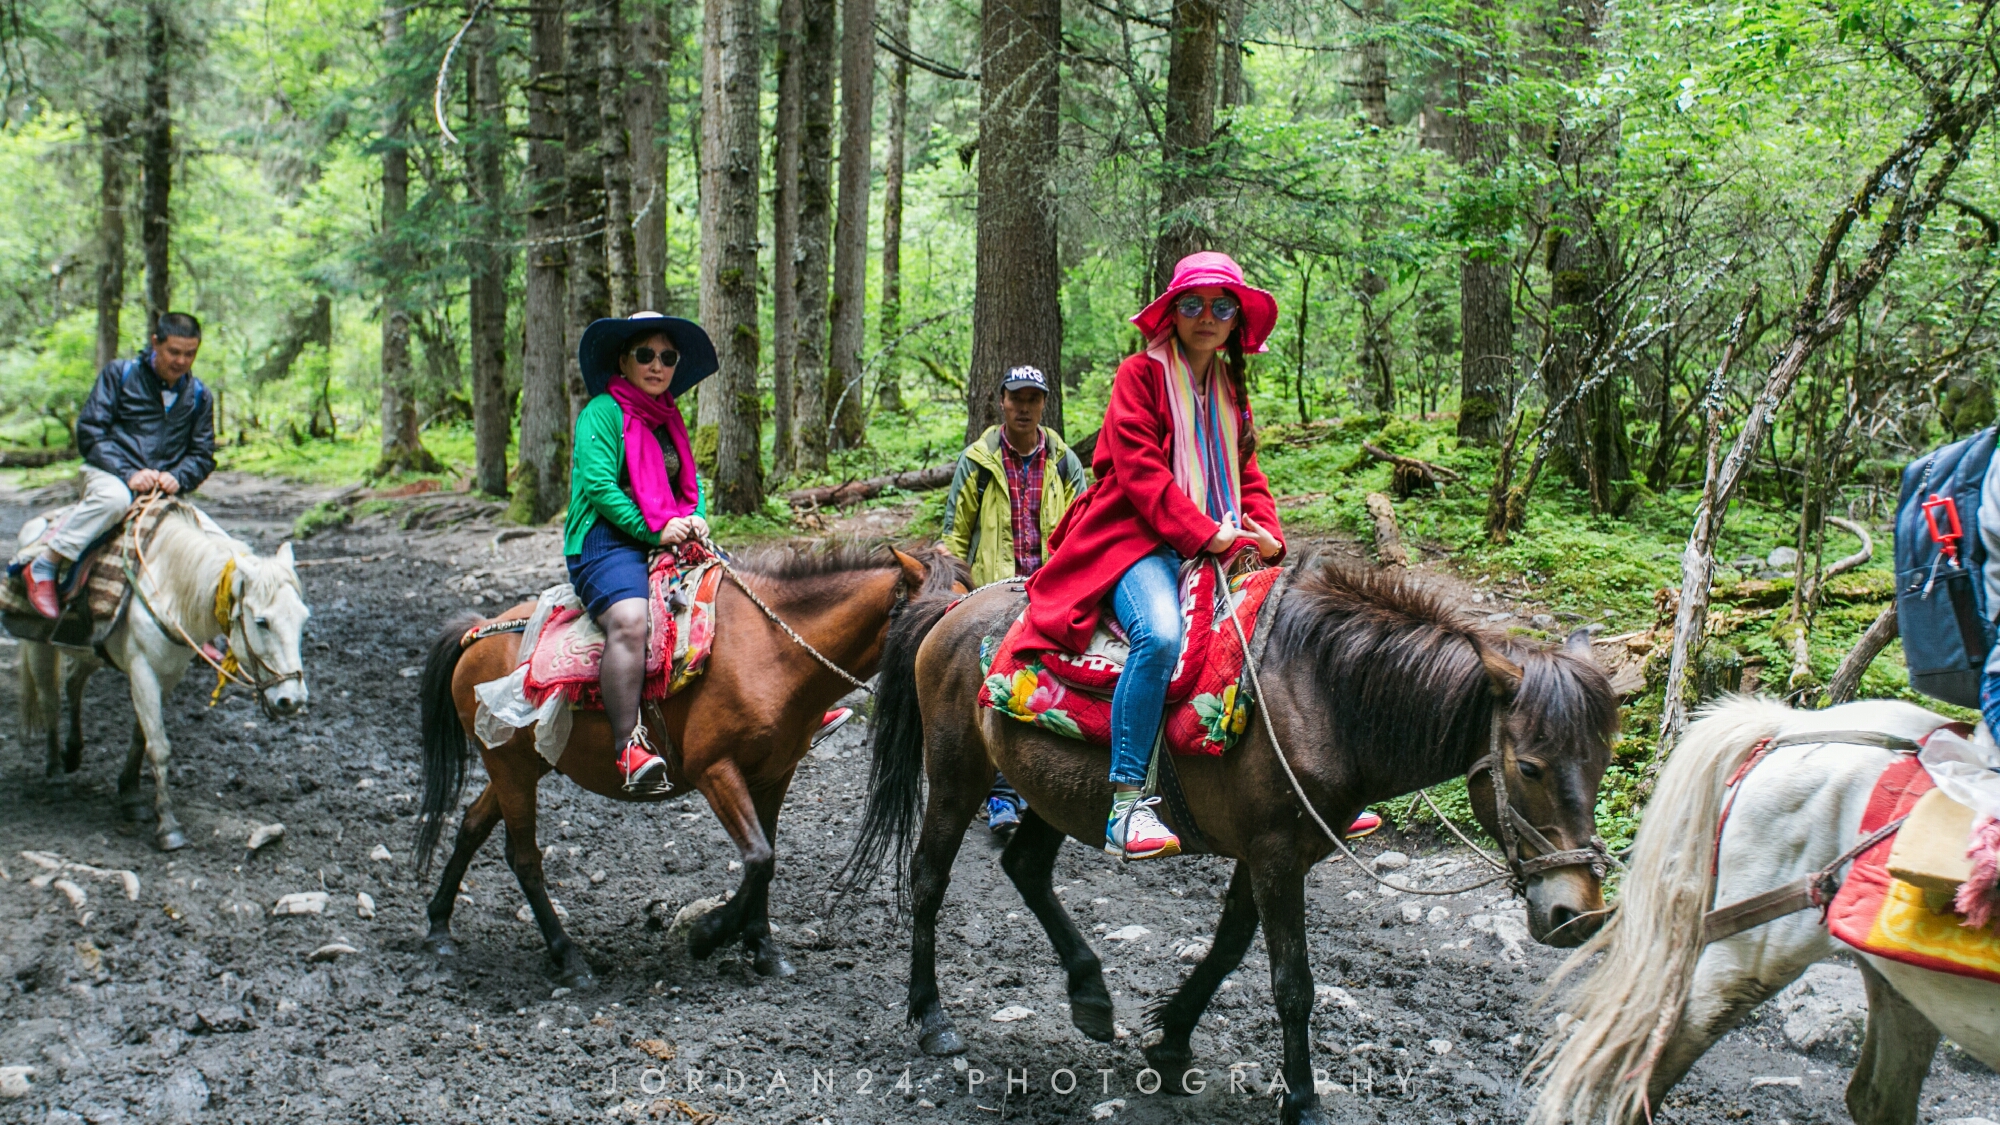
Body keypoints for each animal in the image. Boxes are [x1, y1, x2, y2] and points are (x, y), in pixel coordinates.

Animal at [17, 500, 308, 848]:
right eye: (262, 621)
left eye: (304, 618)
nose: (293, 700)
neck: (169, 587)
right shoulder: (143, 668)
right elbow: (158, 745)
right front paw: (168, 826)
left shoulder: (169, 674)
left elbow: (140, 736)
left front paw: (130, 795)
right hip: (39, 645)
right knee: (49, 701)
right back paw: (57, 774)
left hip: (91, 650)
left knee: (74, 683)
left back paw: (73, 753)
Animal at [414, 540, 960, 984]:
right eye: (936, 619)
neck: (775, 653)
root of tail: (476, 633)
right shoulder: (714, 770)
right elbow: (758, 857)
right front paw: (709, 935)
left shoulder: (774, 776)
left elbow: (768, 860)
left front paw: (763, 949)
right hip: (510, 767)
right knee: (524, 858)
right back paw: (568, 957)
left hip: (519, 766)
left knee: (471, 825)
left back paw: (439, 926)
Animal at [844, 552, 1624, 1120]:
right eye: (1529, 766)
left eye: (1604, 758)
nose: (1576, 913)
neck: (1324, 700)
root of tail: (954, 610)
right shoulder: (1276, 856)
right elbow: (1292, 983)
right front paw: (1301, 1100)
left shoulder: (1270, 853)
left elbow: (1226, 948)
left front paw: (1171, 1041)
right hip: (956, 774)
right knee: (928, 877)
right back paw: (932, 1016)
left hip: (1050, 792)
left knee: (1028, 868)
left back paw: (1092, 996)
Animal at [1520, 696, 1992, 1112]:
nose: (1571, 918)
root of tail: (1786, 727)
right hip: (1752, 952)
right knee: (1647, 1069)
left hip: (1902, 986)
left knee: (1876, 1097)